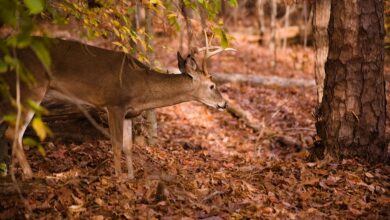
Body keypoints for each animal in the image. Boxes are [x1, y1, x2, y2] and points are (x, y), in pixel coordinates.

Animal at [0, 37, 235, 179]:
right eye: (212, 85)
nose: (224, 104)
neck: (143, 87)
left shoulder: (129, 113)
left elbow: (128, 146)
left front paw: (131, 176)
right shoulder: (114, 104)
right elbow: (115, 144)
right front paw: (119, 178)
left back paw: (12, 174)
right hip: (31, 87)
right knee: (14, 133)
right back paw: (30, 175)